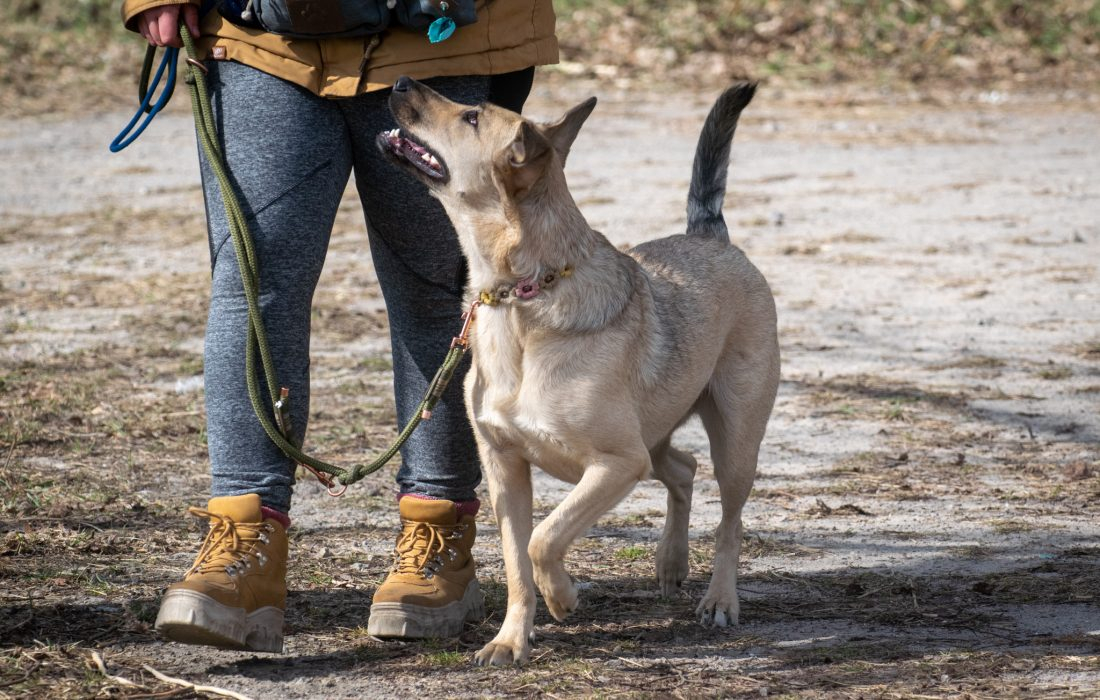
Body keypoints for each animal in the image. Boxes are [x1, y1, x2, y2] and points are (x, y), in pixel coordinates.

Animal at [378, 79, 783, 664]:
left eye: (472, 116)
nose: (400, 82)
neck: (522, 297)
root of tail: (711, 237)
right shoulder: (506, 473)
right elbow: (517, 559)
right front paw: (511, 639)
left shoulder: (617, 464)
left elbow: (544, 538)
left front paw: (563, 595)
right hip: (655, 438)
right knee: (682, 470)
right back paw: (671, 562)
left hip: (733, 442)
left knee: (730, 520)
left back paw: (719, 599)